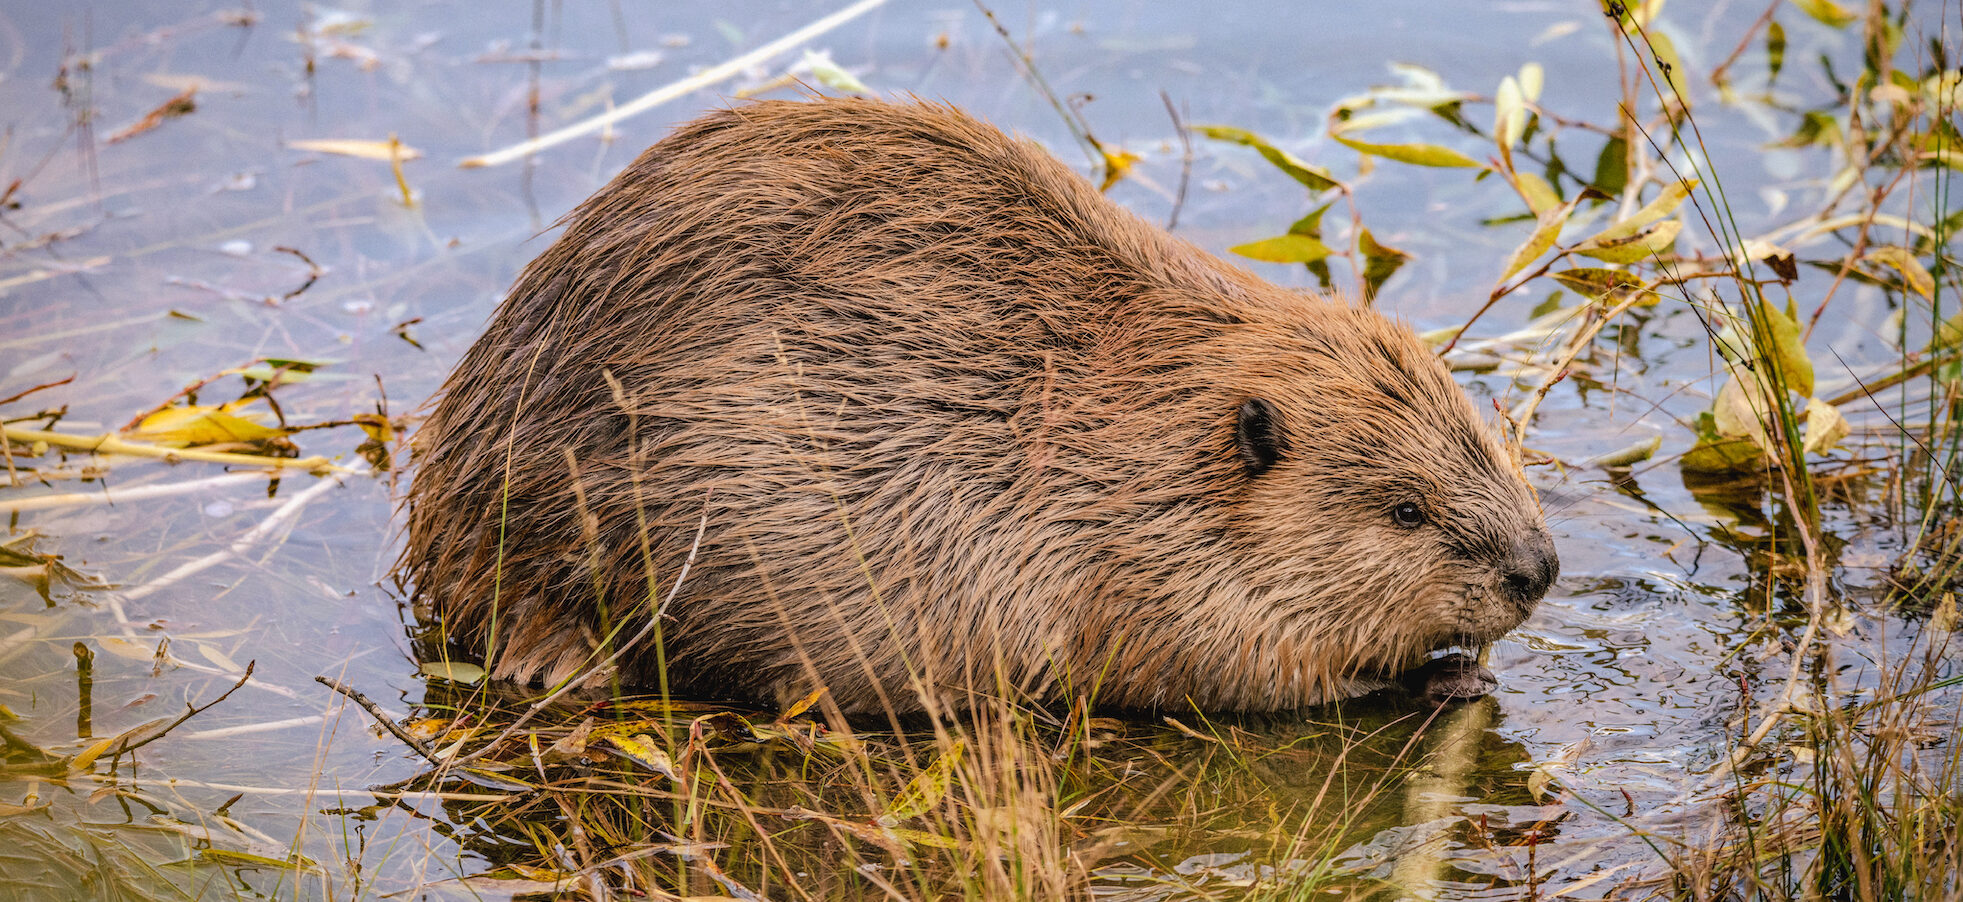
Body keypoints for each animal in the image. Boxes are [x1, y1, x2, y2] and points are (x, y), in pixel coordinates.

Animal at [398, 97, 1554, 709]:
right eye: (1405, 509)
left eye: (1486, 445)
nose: (1537, 570)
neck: (1139, 429)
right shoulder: (1136, 568)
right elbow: (1239, 671)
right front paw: (1440, 675)